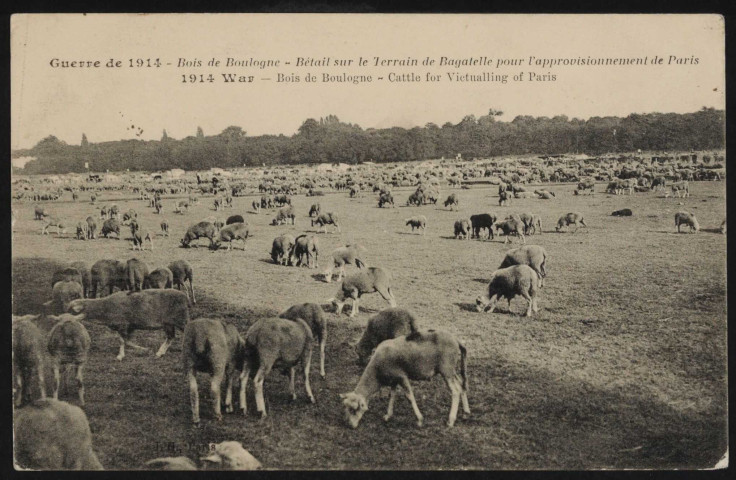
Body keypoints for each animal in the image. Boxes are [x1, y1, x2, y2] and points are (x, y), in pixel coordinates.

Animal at [340, 330, 468, 428]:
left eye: (354, 409)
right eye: (345, 408)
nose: (349, 426)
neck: (377, 371)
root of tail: (456, 340)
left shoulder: (402, 377)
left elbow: (409, 397)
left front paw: (419, 419)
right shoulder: (393, 379)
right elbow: (392, 396)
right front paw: (388, 415)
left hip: (446, 370)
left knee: (455, 391)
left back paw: (451, 420)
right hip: (451, 371)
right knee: (461, 384)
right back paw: (466, 412)